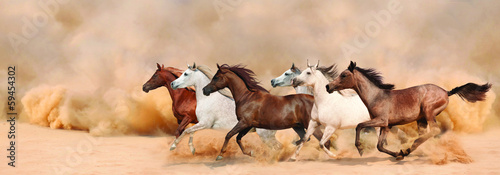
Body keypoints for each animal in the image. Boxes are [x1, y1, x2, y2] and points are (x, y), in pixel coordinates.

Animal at [201, 63, 330, 161]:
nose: (204, 90)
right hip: (297, 126)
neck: (246, 97)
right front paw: (251, 153)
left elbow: (229, 135)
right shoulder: (248, 125)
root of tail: (314, 99)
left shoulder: (244, 123)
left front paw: (219, 155)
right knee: (305, 139)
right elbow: (238, 138)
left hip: (310, 125)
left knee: (323, 141)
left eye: (216, 77)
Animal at [324, 61, 492, 160]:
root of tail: (446, 92)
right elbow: (380, 146)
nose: (328, 86)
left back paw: (413, 147)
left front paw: (359, 149)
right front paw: (399, 154)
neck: (376, 96)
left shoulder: (381, 121)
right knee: (426, 134)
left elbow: (359, 125)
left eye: (344, 75)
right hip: (421, 119)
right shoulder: (386, 126)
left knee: (435, 130)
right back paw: (410, 150)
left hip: (429, 112)